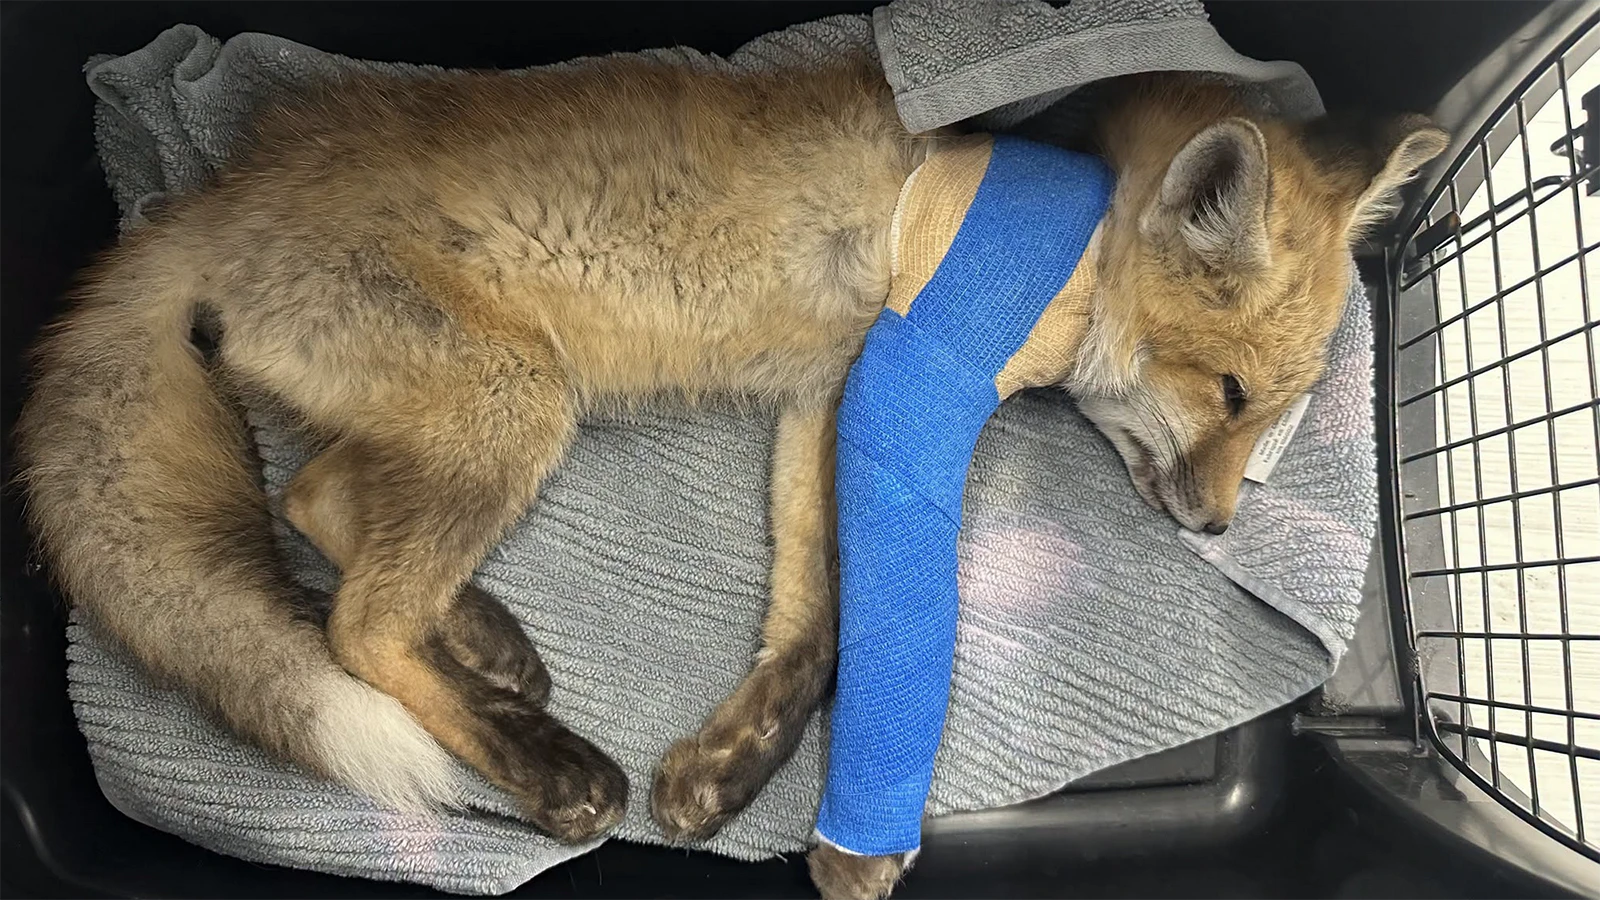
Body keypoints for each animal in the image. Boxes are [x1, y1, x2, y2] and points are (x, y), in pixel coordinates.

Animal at [14, 50, 1445, 900]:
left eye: (1276, 417)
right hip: (517, 407)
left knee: (316, 510)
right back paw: (549, 770)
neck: (1077, 234)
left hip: (460, 417)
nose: (1218, 524)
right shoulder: (902, 382)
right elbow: (873, 636)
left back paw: (489, 644)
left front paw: (727, 772)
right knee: (358, 623)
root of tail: (198, 205)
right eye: (1232, 395)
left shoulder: (825, 396)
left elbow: (816, 634)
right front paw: (858, 845)